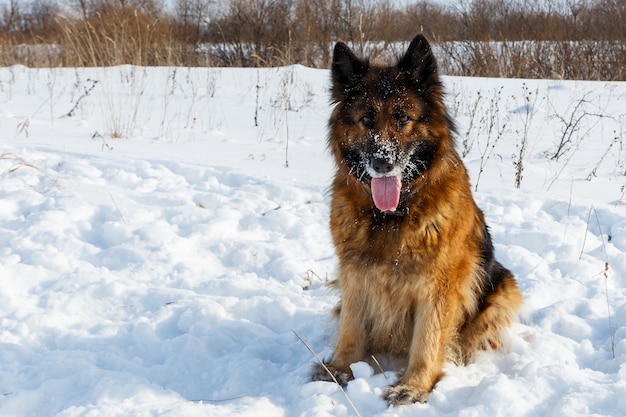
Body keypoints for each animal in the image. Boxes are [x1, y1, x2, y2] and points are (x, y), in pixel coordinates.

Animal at [310, 34, 520, 404]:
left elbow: (427, 339)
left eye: (402, 118)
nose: (382, 163)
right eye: (366, 119)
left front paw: (414, 385)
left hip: (503, 286)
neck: (391, 216)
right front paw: (340, 367)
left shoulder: (440, 285)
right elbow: (351, 326)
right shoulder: (354, 273)